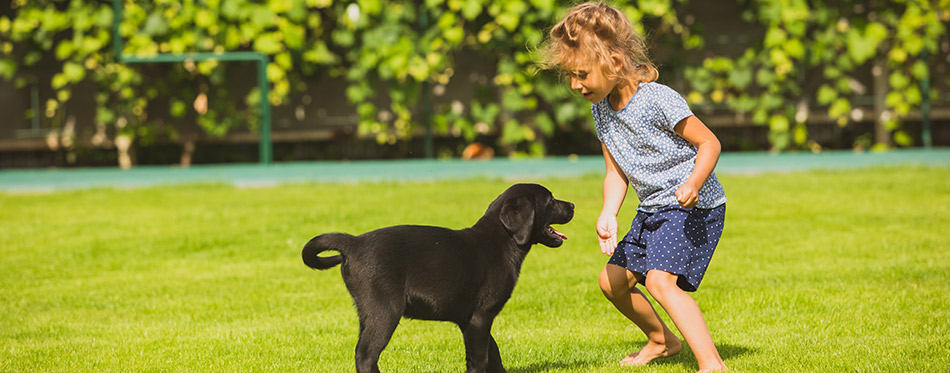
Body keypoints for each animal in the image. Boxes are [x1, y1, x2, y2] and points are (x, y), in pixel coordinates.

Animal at [304, 184, 572, 372]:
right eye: (550, 200)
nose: (572, 205)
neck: (502, 240)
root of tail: (355, 243)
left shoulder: (472, 319)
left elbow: (493, 354)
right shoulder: (480, 317)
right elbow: (480, 359)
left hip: (367, 312)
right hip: (384, 311)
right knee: (365, 355)